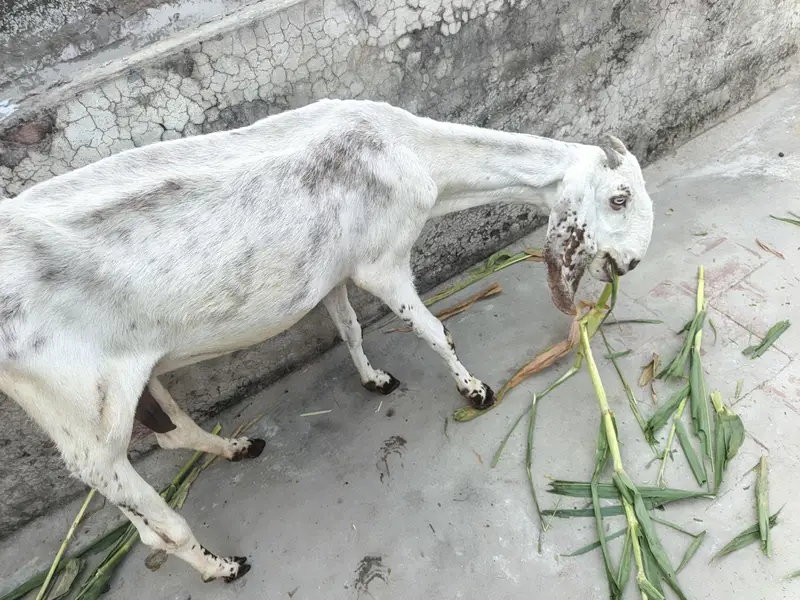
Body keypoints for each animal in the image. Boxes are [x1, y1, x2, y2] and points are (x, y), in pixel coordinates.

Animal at [0, 98, 653, 582]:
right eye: (618, 197)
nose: (632, 263)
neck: (410, 153)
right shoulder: (380, 264)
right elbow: (432, 330)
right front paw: (474, 390)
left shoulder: (335, 273)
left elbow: (349, 326)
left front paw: (375, 379)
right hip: (84, 418)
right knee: (148, 516)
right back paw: (222, 566)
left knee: (169, 437)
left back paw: (238, 448)